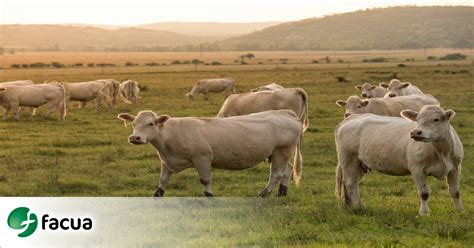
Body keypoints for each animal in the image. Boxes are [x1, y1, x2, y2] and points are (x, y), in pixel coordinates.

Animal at [118, 110, 304, 198]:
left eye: (151, 123)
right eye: (133, 124)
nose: (135, 137)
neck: (170, 135)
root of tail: (286, 112)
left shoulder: (202, 158)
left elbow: (205, 180)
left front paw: (209, 196)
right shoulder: (167, 162)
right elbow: (162, 180)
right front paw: (156, 195)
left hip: (282, 150)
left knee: (276, 173)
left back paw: (263, 194)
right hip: (278, 153)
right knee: (287, 170)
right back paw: (282, 192)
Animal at [336, 104, 464, 215]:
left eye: (436, 119)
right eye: (417, 120)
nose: (416, 132)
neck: (442, 153)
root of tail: (352, 117)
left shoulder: (455, 168)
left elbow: (455, 191)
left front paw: (459, 210)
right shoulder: (417, 169)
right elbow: (424, 193)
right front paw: (424, 213)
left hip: (360, 164)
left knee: (349, 182)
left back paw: (349, 205)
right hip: (348, 159)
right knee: (350, 183)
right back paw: (359, 206)